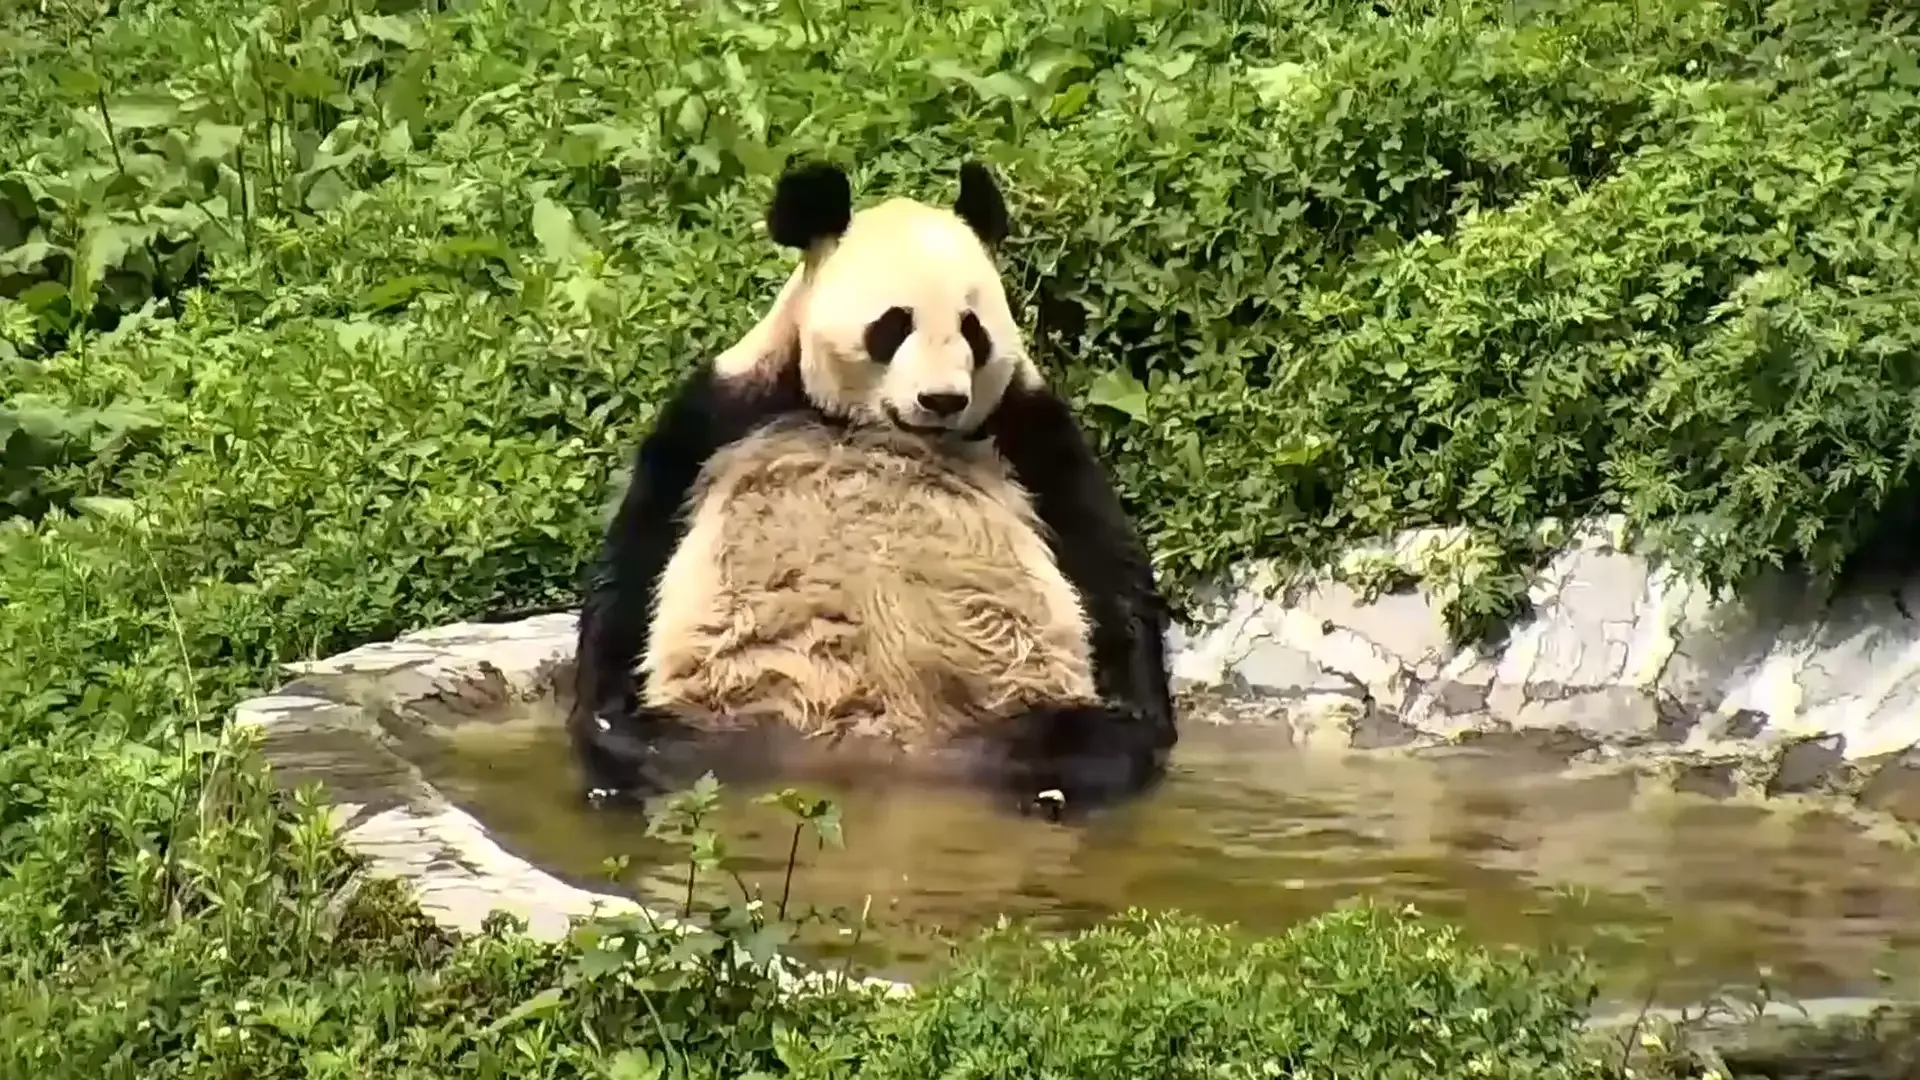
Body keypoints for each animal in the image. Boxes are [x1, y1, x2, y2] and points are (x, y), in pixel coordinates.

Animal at [566, 158, 1177, 819]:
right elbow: (639, 553)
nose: (942, 399)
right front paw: (601, 699)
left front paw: (1142, 706)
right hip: (725, 717)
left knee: (1088, 745)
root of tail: (877, 747)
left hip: (1007, 712)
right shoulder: (725, 413)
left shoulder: (1026, 429)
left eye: (973, 330)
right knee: (645, 747)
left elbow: (1102, 559)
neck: (874, 426)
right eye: (893, 326)